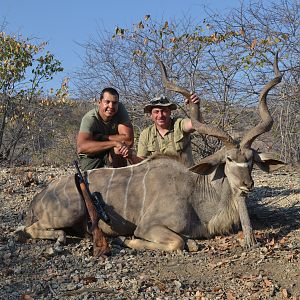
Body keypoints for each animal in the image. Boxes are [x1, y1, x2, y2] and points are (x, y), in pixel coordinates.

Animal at [20, 53, 284, 251]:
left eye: (250, 160)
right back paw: (60, 239)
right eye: (229, 159)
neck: (196, 190)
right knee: (27, 230)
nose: (246, 185)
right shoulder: (149, 226)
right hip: (68, 212)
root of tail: (39, 197)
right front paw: (125, 239)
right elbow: (178, 242)